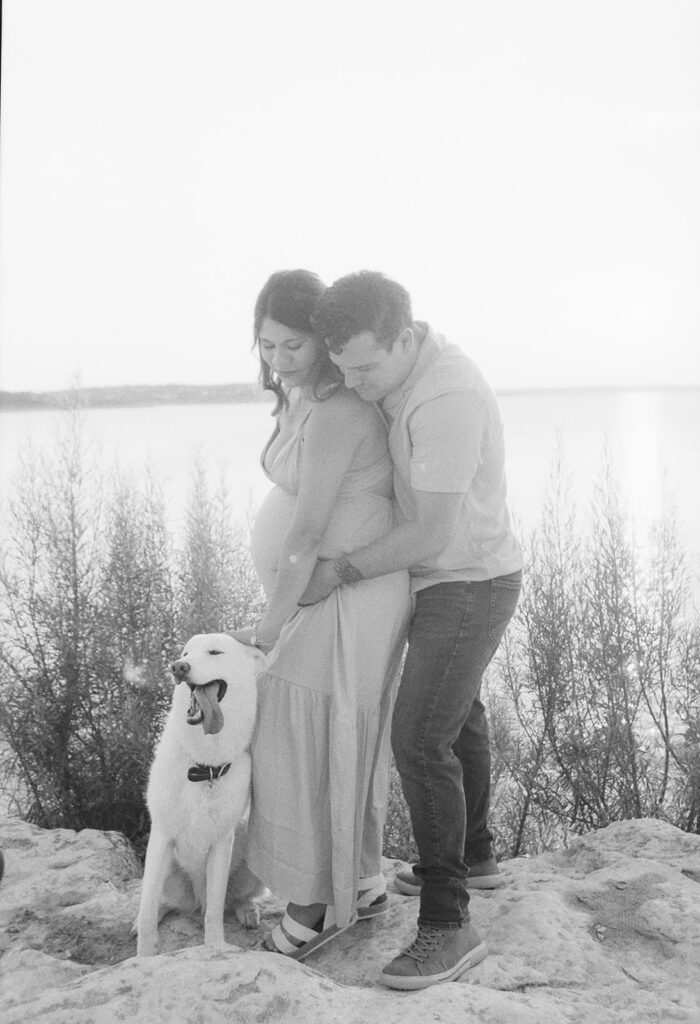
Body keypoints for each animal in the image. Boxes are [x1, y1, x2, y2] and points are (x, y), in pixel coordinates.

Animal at [137, 630, 266, 958]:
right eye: (185, 652)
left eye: (215, 652)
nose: (178, 667)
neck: (204, 767)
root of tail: (194, 903)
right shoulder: (161, 836)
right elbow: (146, 910)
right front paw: (143, 957)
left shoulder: (222, 844)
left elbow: (216, 911)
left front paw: (215, 947)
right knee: (164, 901)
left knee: (226, 902)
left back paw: (246, 909)